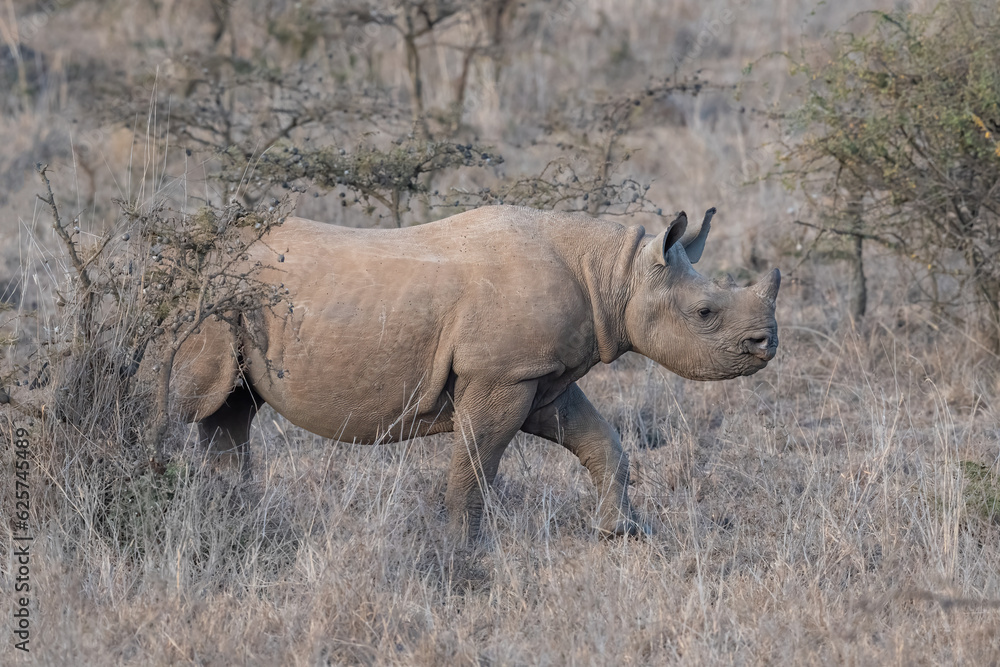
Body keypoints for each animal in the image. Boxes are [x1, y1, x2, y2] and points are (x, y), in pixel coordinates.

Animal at [174, 205, 779, 538]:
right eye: (705, 313)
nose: (767, 344)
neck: (617, 272)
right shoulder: (503, 374)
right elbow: (476, 463)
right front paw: (462, 550)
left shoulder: (538, 375)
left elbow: (601, 441)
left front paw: (622, 533)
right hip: (202, 299)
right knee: (181, 400)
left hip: (238, 307)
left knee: (230, 408)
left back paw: (231, 520)